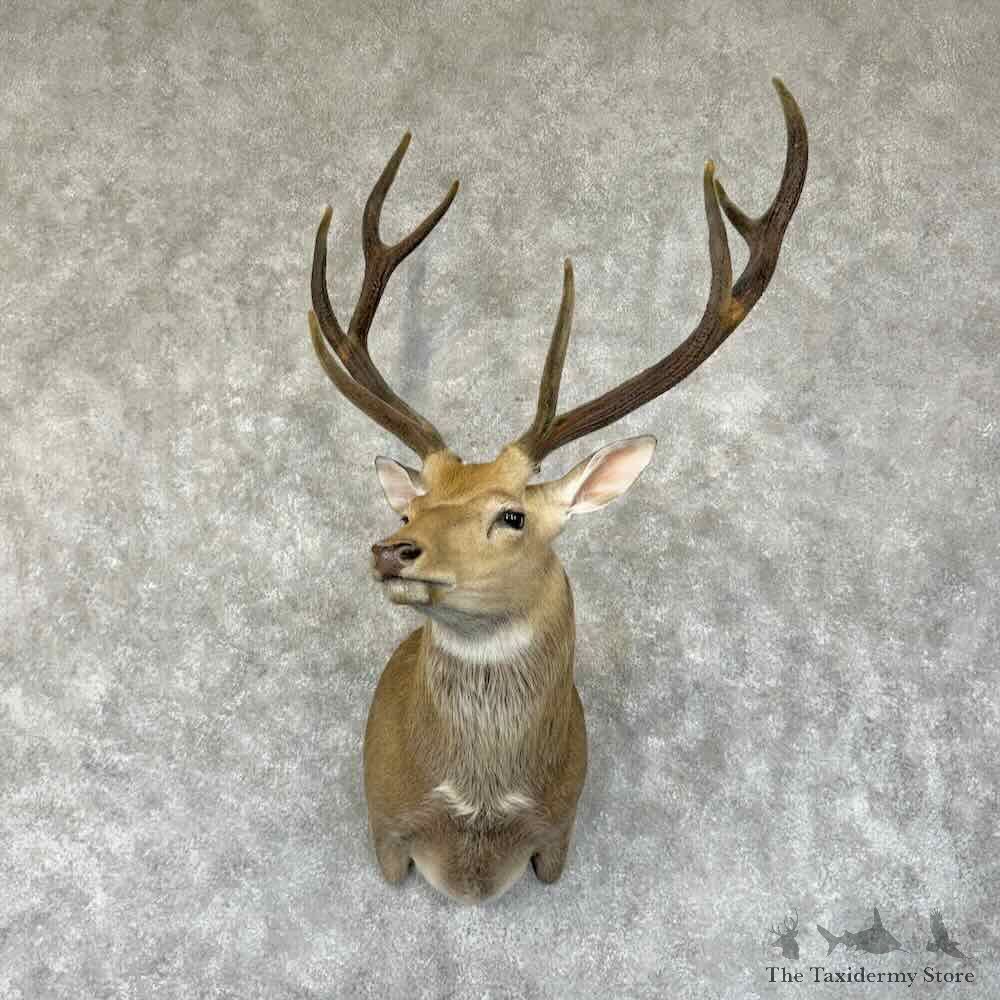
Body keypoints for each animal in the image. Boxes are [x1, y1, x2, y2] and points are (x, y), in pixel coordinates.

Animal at [305, 78, 808, 904]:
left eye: (511, 515)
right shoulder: (385, 830)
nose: (392, 548)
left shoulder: (559, 833)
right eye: (411, 505)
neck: (475, 829)